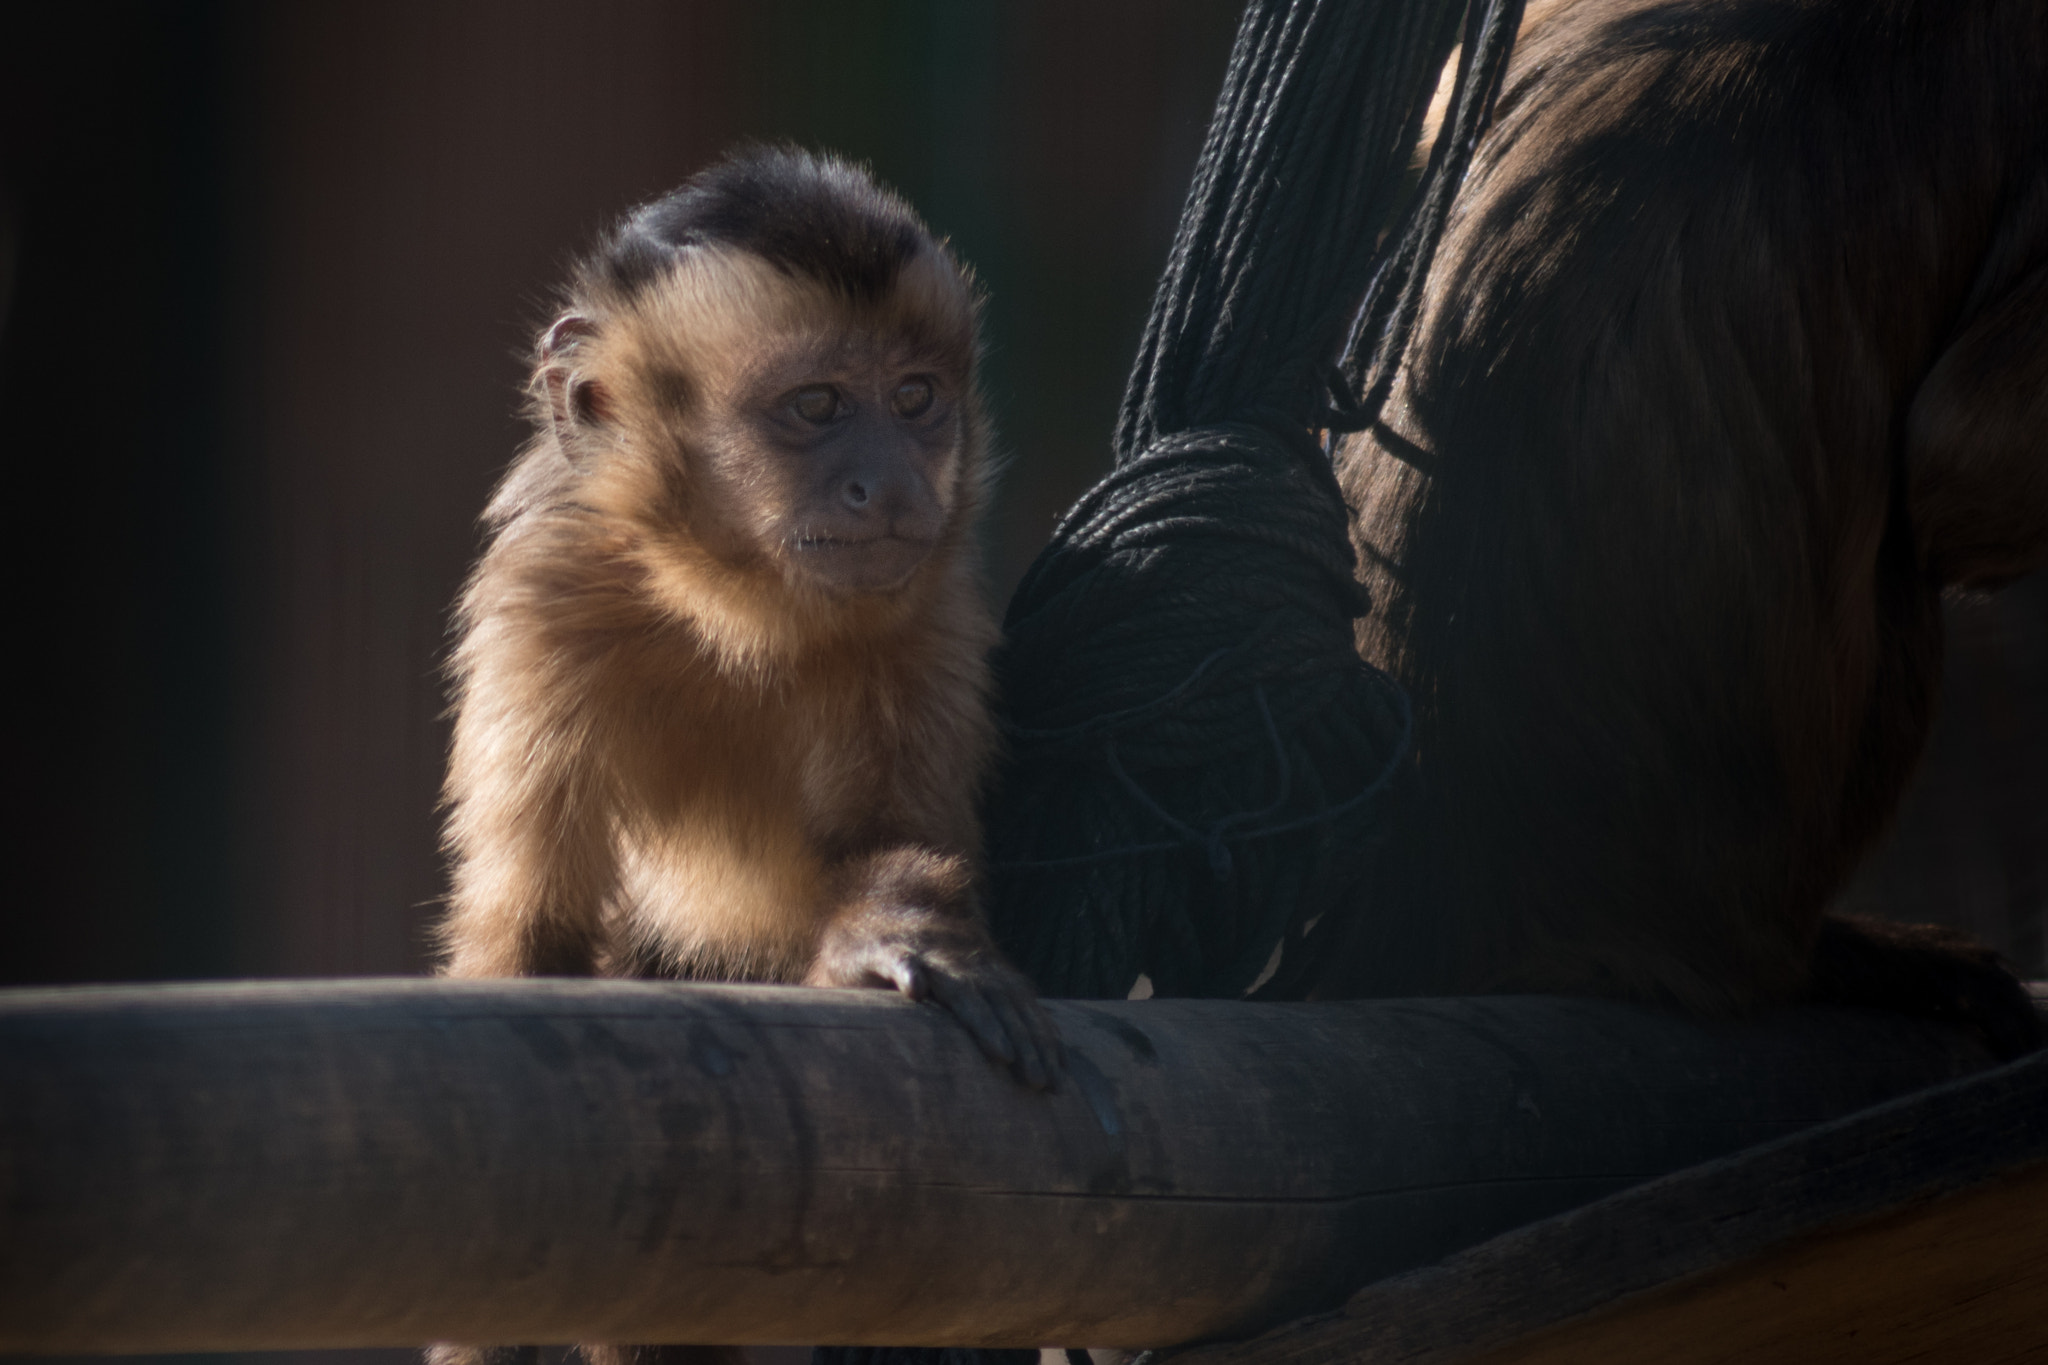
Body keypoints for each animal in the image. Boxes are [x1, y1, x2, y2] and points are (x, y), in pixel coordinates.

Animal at [428, 148, 1062, 1365]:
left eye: (914, 400)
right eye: (817, 407)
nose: (890, 481)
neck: (730, 605)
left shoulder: (926, 613)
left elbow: (892, 845)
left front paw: (885, 931)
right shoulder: (545, 594)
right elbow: (535, 928)